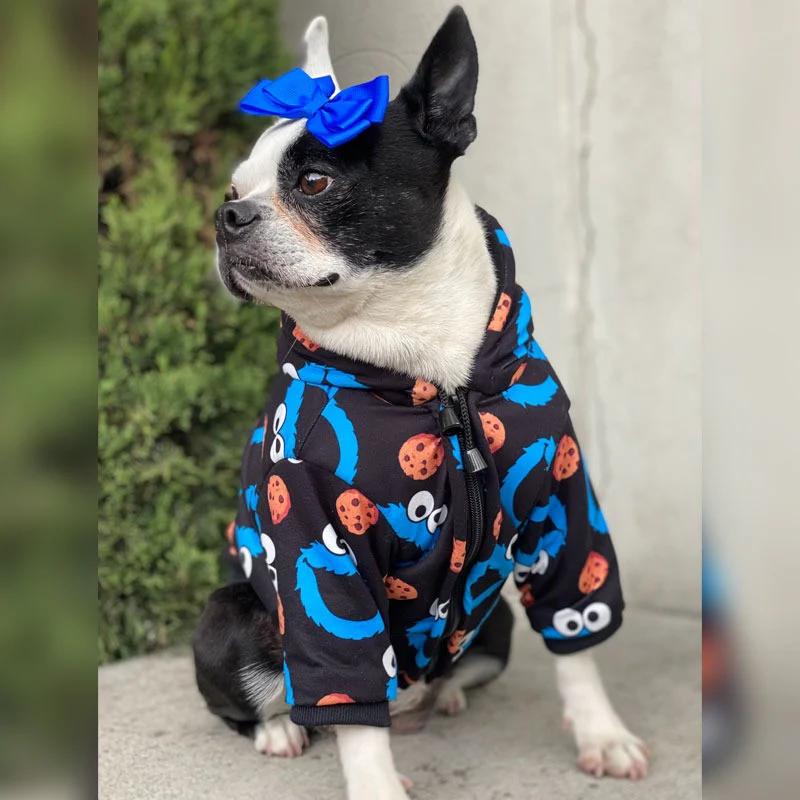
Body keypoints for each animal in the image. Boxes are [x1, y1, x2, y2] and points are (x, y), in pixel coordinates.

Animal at [193, 8, 649, 799]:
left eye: (314, 181)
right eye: (233, 189)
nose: (228, 216)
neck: (429, 369)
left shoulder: (563, 503)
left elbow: (575, 631)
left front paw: (601, 734)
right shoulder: (316, 539)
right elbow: (348, 693)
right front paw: (376, 784)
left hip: (494, 622)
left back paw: (445, 693)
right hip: (228, 617)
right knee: (272, 699)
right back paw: (283, 729)